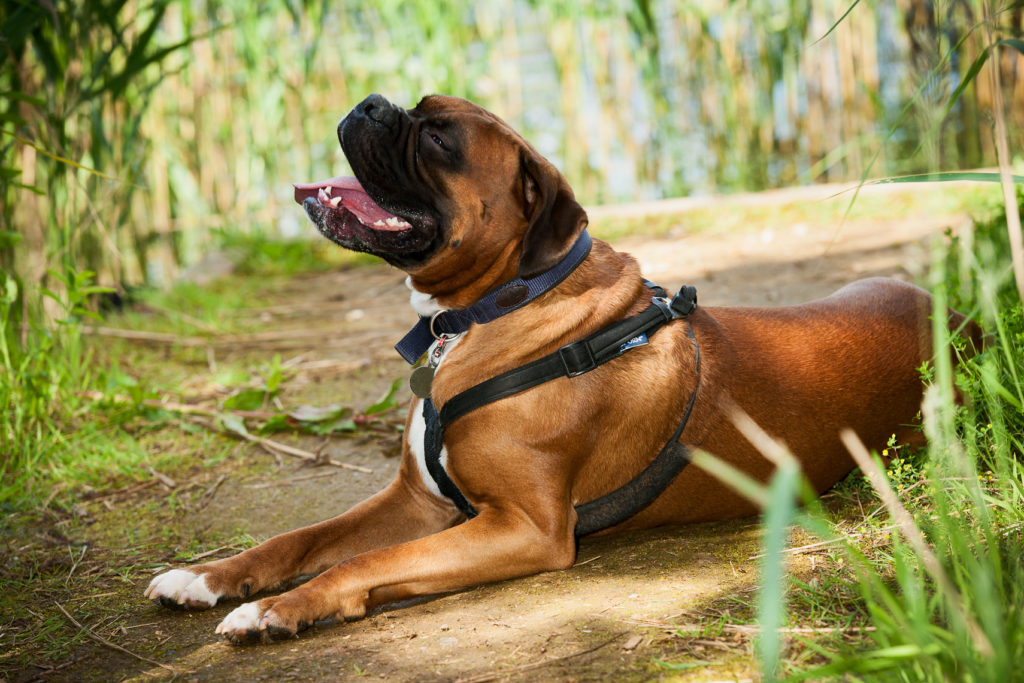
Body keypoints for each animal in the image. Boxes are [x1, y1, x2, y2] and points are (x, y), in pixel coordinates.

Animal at [144, 93, 974, 643]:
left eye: (436, 137)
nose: (372, 101)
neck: (483, 310)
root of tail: (957, 314)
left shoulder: (523, 528)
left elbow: (365, 560)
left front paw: (276, 610)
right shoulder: (416, 500)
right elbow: (301, 539)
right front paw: (209, 576)